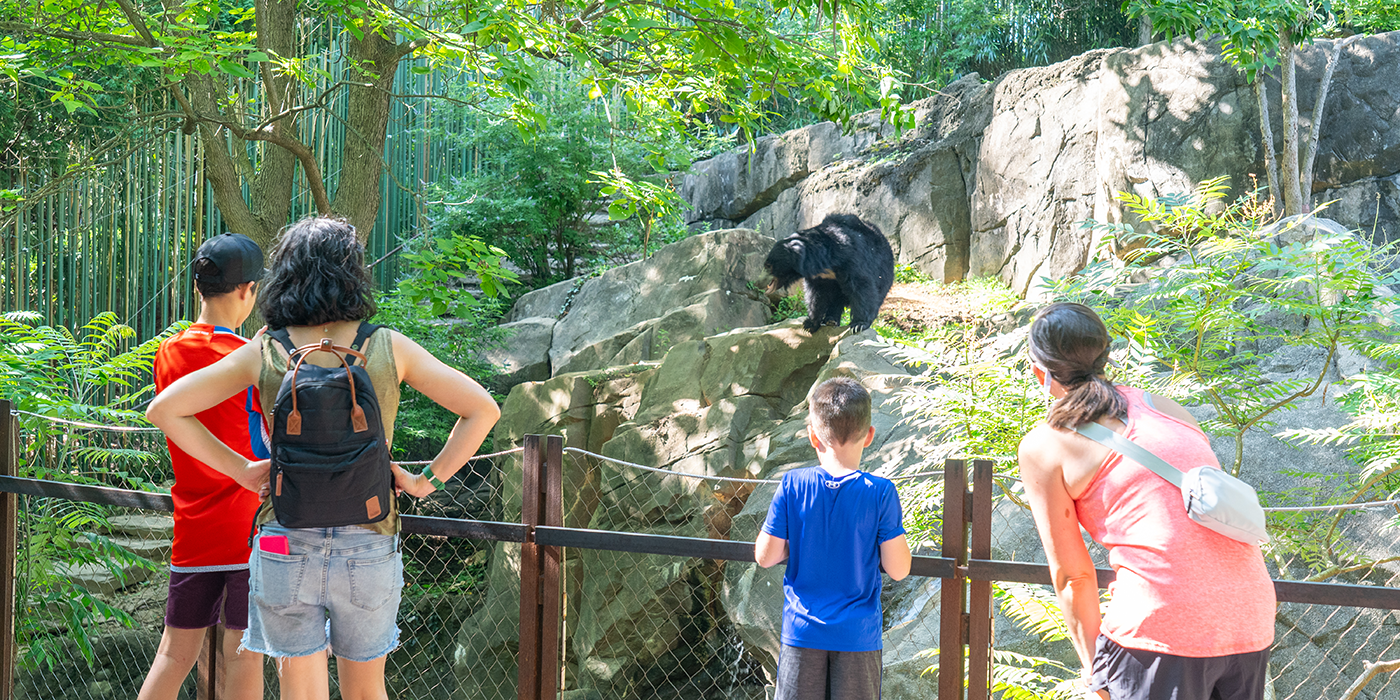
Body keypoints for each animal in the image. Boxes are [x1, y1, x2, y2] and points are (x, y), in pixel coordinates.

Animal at [767, 212, 896, 333]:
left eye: (770, 265)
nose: (766, 284)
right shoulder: (819, 278)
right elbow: (816, 296)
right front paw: (810, 324)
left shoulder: (850, 259)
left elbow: (861, 287)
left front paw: (858, 325)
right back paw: (830, 320)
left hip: (884, 272)